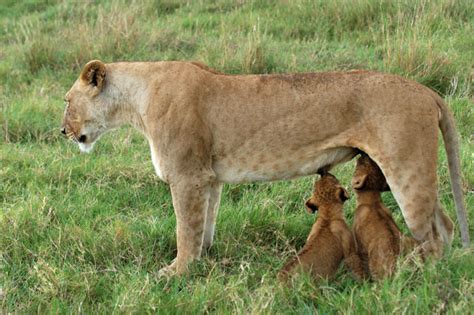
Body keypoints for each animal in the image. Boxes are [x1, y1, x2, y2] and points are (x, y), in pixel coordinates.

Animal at [61, 59, 468, 276]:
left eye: (66, 101)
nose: (62, 131)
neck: (137, 100)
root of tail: (427, 91)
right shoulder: (208, 178)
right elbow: (204, 224)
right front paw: (204, 260)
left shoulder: (186, 176)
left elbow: (184, 229)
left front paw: (177, 273)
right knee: (445, 225)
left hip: (406, 167)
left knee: (431, 235)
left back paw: (417, 277)